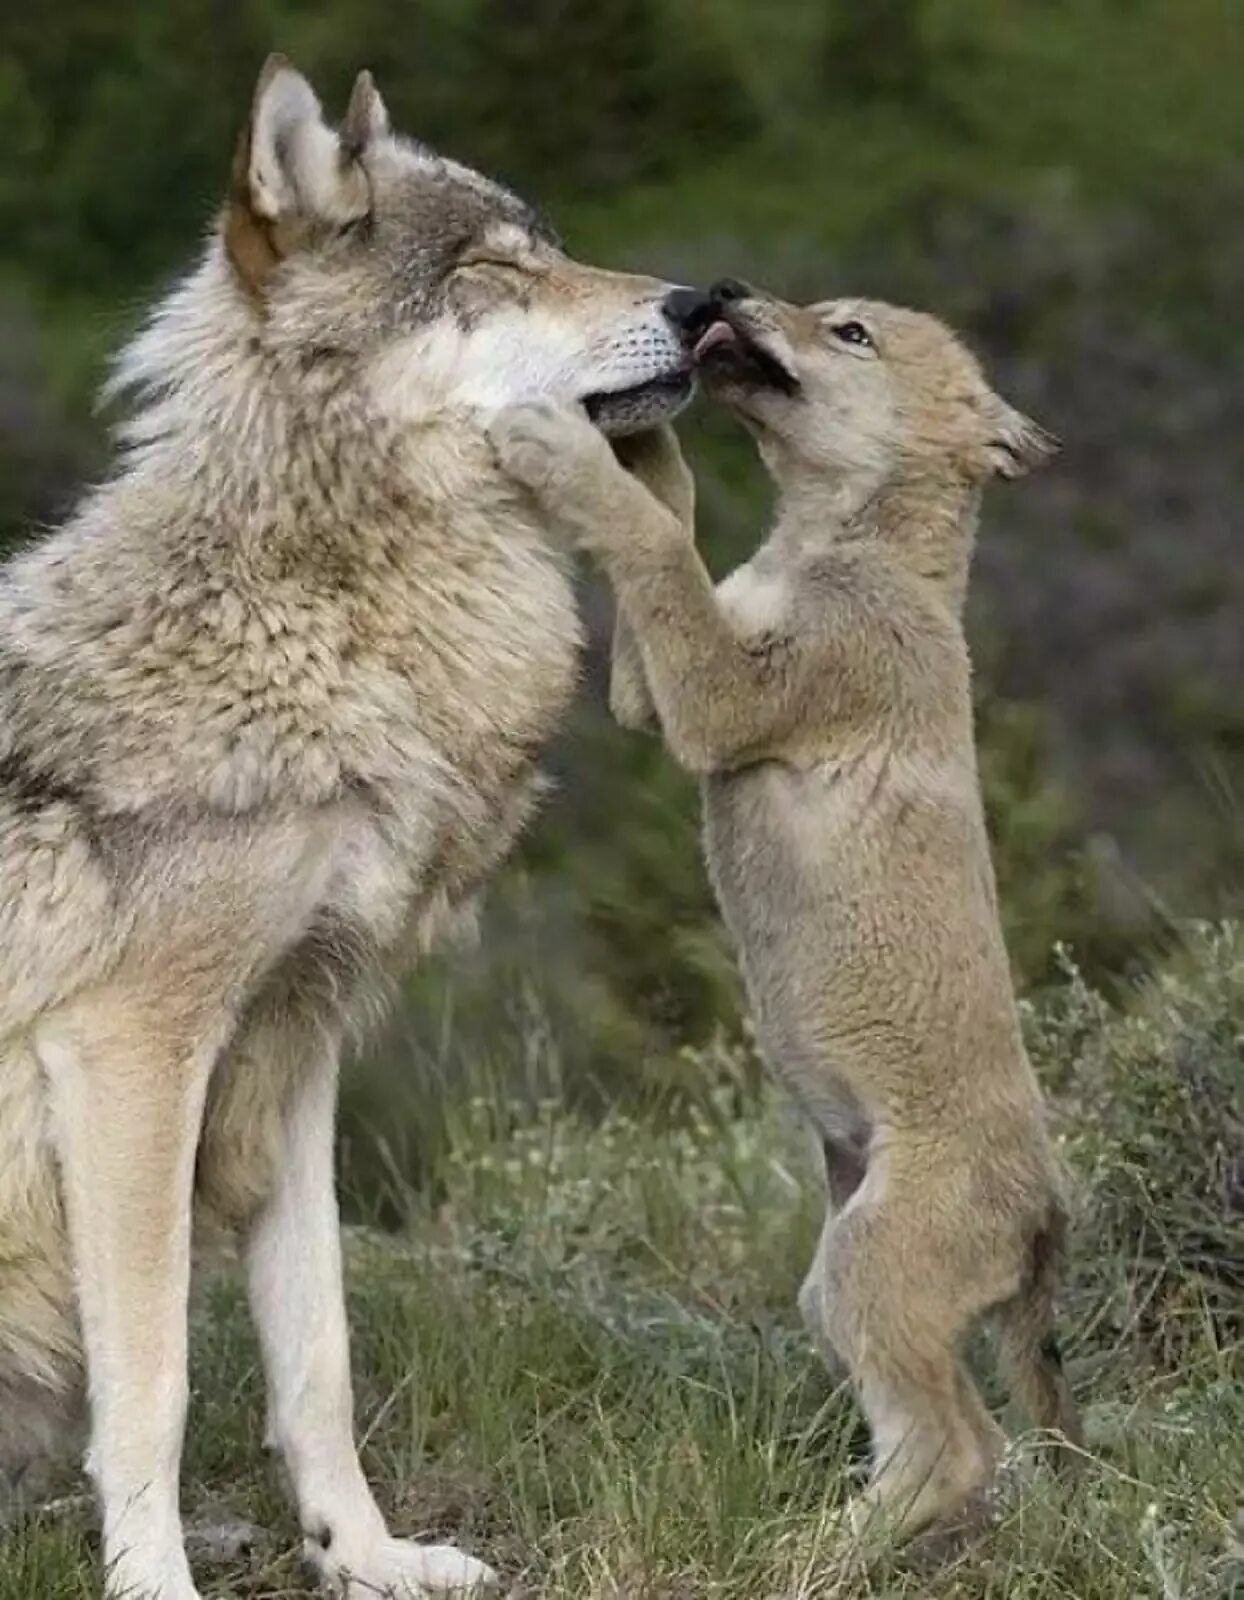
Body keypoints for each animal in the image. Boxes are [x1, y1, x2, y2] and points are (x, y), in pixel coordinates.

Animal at [0, 53, 697, 1600]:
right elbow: (154, 1383)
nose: (706, 301)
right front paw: (157, 1582)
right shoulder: (132, 1052)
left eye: (552, 246)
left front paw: (365, 1554)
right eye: (490, 275)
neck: (305, 615)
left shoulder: (298, 1047)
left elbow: (317, 1350)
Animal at [486, 288, 1074, 1548]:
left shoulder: (723, 698)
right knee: (950, 1438)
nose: (722, 295)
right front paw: (637, 428)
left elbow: (653, 545)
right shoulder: (655, 691)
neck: (837, 545)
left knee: (960, 1446)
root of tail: (1048, 1216)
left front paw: (560, 444)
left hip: (866, 1266)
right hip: (834, 1278)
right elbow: (667, 516)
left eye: (848, 331)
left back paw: (818, 1546)